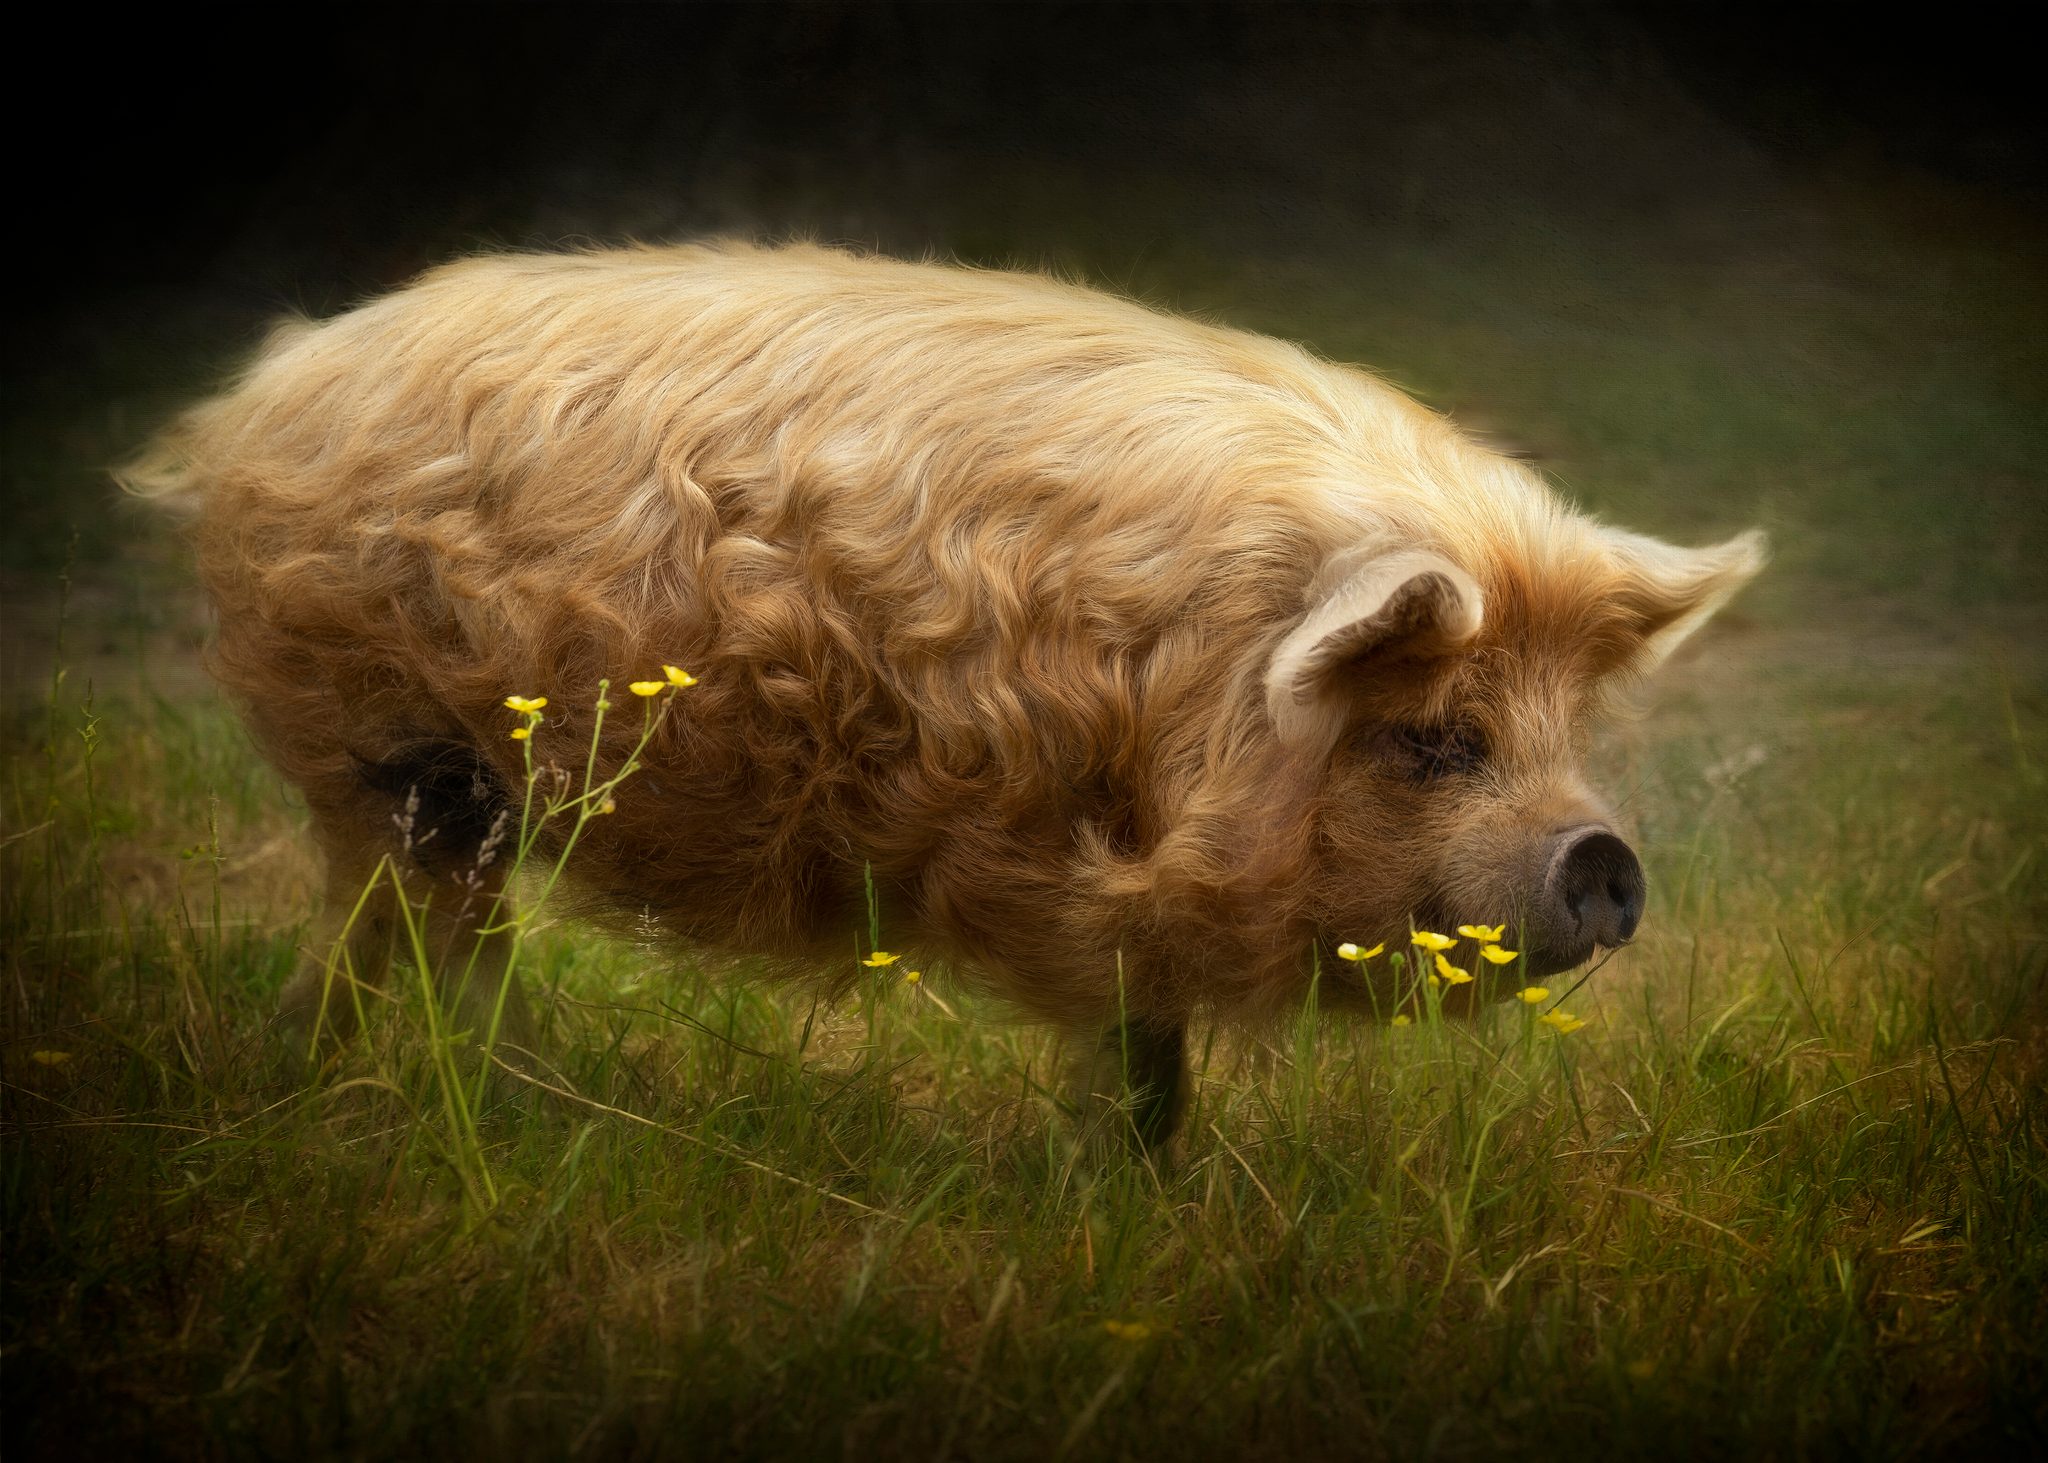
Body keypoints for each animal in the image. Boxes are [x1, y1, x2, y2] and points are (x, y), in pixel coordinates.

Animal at [122, 241, 1763, 1147]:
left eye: (1564, 733)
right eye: (1432, 737)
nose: (1602, 853)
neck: (1196, 696)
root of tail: (265, 387)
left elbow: (1155, 1047)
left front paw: (1163, 1197)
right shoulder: (1061, 854)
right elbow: (1126, 1041)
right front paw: (1118, 1192)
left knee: (399, 929)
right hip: (395, 744)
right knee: (428, 928)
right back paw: (497, 1101)